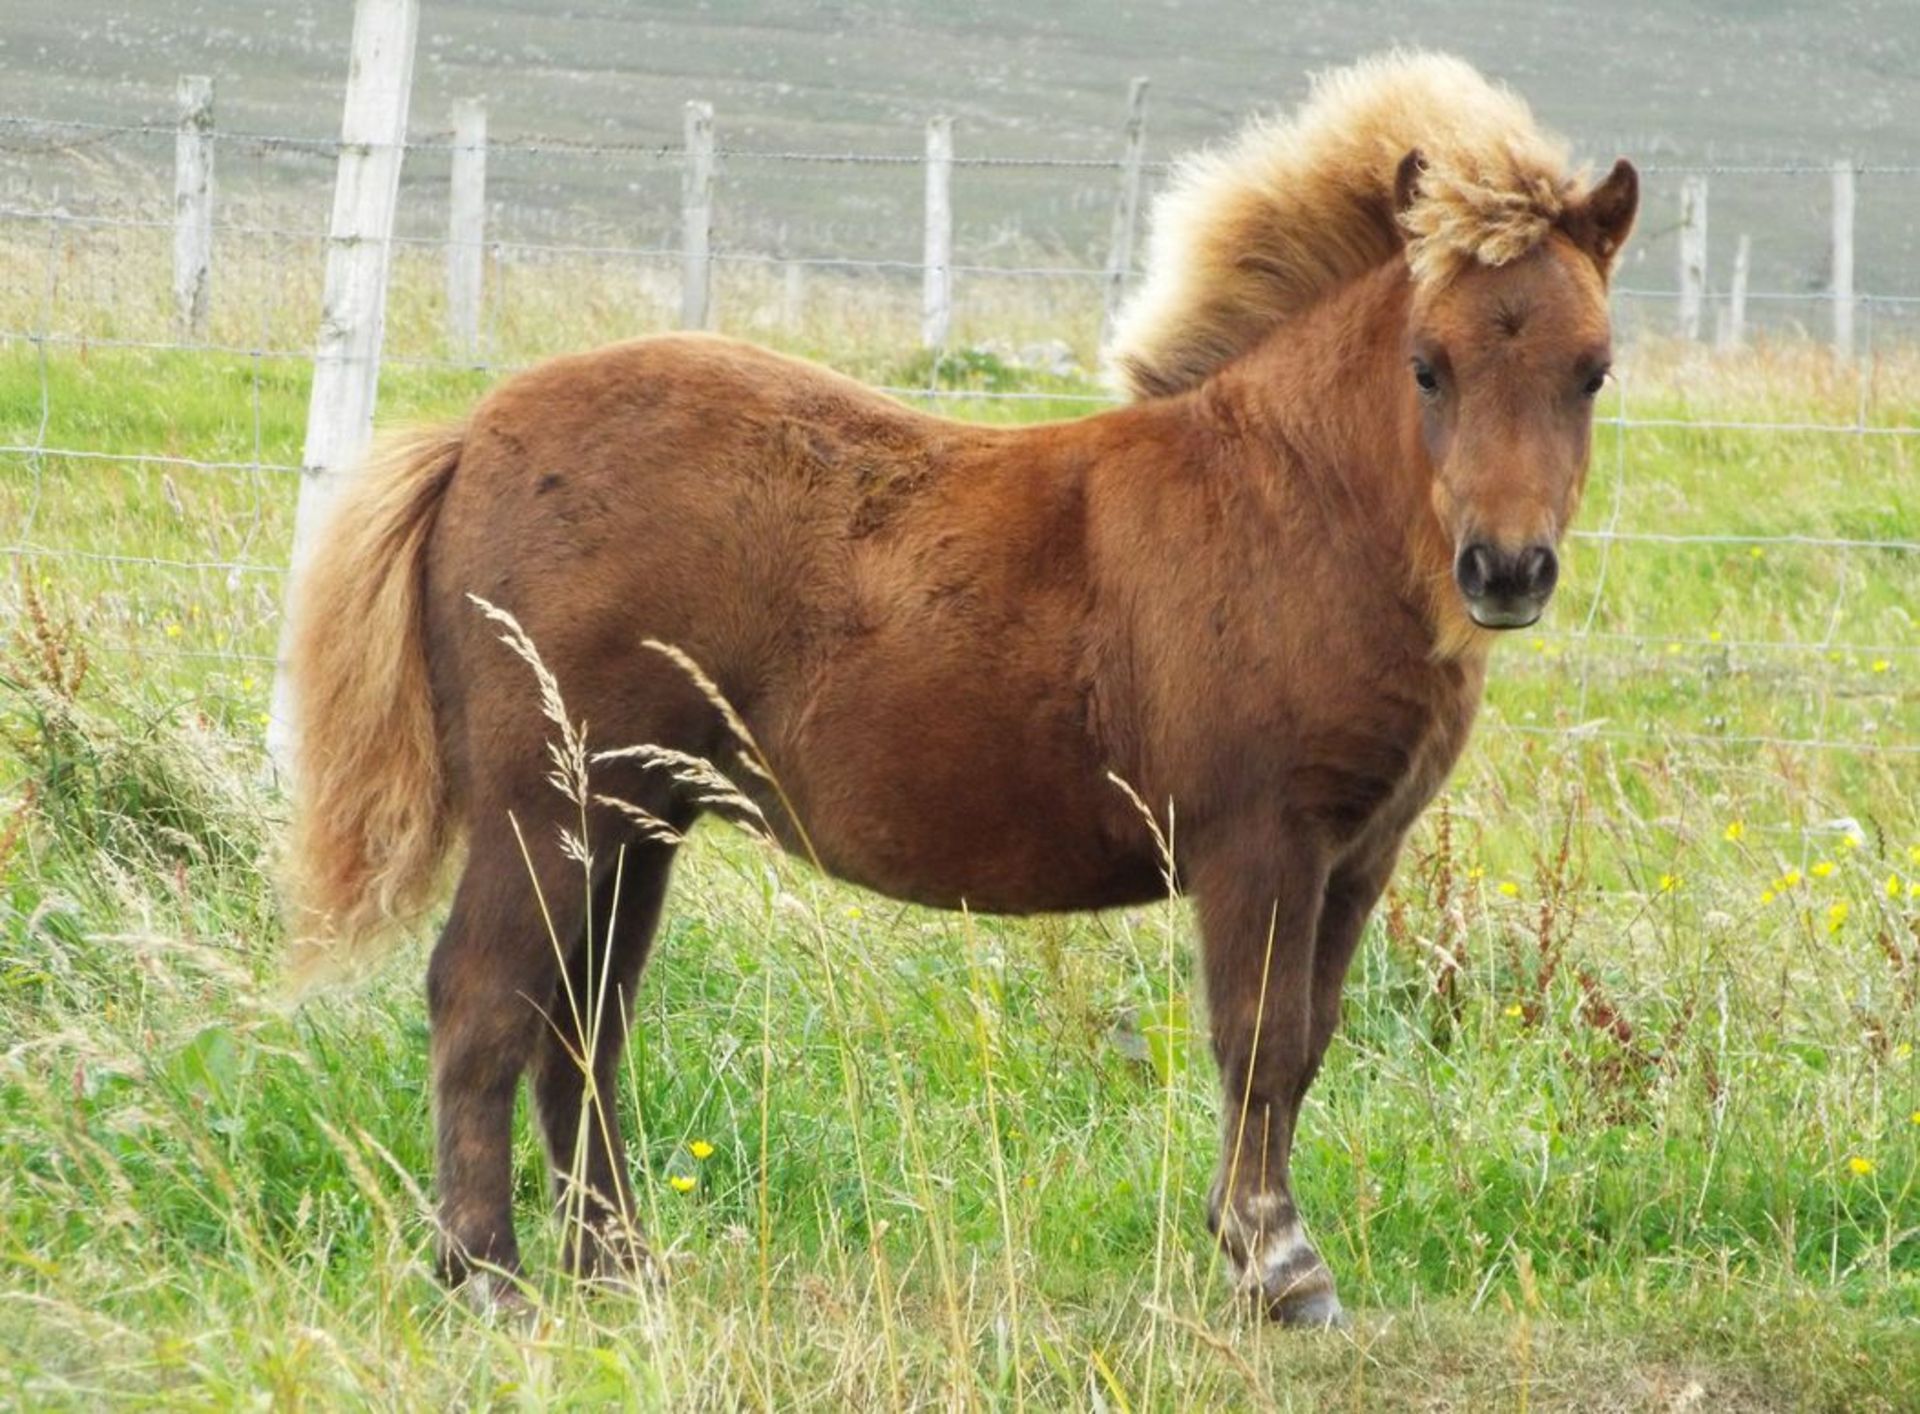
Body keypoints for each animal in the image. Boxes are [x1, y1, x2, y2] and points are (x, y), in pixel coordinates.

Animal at [284, 47, 1635, 1321]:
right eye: (1427, 365)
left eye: (1595, 368)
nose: (1506, 570)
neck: (1289, 501)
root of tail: (471, 439)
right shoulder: (1263, 841)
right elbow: (1255, 1039)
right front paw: (1278, 1264)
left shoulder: (1358, 853)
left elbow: (1305, 1044)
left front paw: (1269, 1258)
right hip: (549, 808)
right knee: (481, 998)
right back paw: (489, 1279)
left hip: (635, 820)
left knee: (582, 1022)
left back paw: (621, 1269)